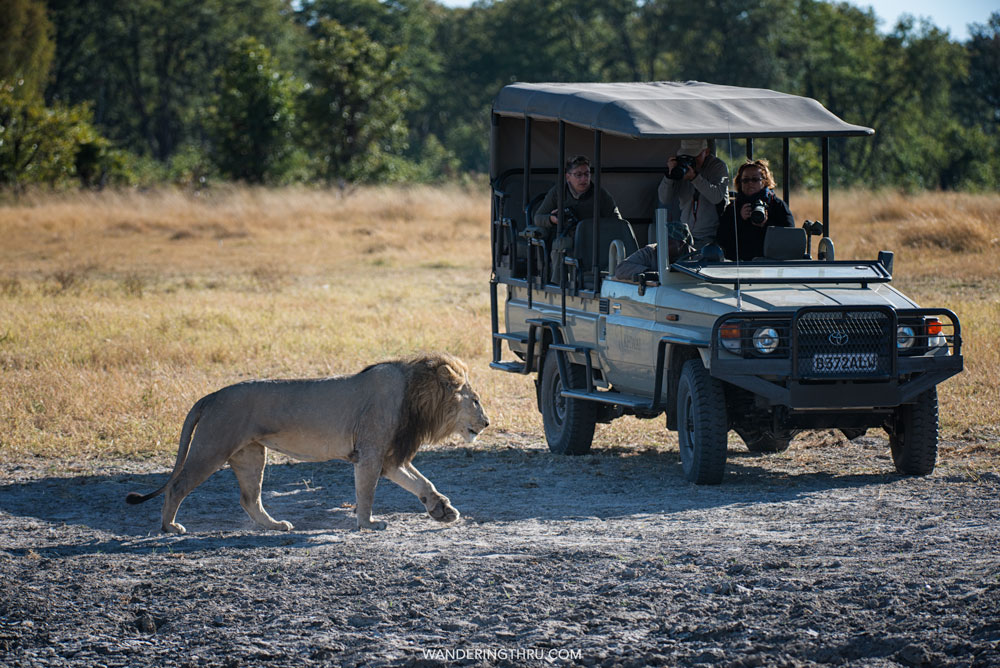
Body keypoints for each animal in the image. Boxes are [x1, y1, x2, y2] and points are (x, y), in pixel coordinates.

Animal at [126, 353, 489, 533]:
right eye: (475, 401)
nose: (486, 423)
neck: (415, 395)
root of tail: (211, 396)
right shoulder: (370, 454)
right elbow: (366, 493)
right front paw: (367, 524)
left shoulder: (388, 457)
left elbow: (422, 482)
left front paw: (442, 510)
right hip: (211, 448)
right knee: (177, 486)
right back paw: (169, 526)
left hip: (250, 455)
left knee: (249, 499)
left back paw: (275, 526)